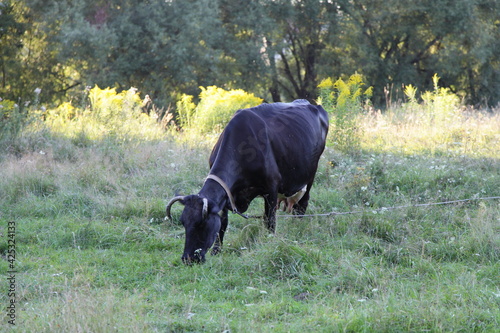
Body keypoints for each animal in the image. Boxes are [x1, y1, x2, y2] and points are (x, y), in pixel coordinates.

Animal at [167, 98, 328, 262]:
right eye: (183, 222)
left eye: (201, 224)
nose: (187, 258)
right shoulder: (226, 194)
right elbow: (223, 224)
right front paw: (216, 251)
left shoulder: (271, 188)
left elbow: (270, 221)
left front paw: (270, 244)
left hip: (310, 175)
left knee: (301, 206)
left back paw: (297, 228)